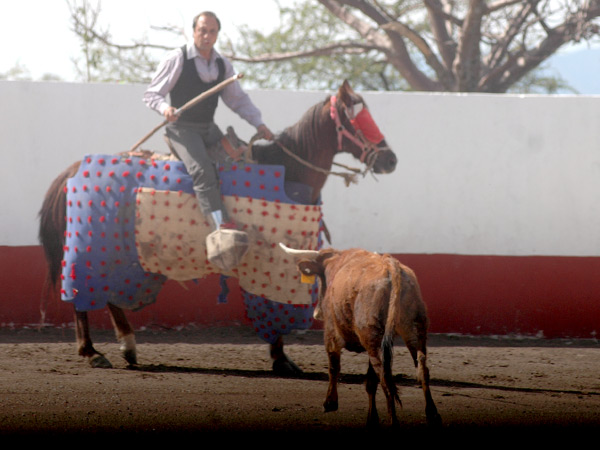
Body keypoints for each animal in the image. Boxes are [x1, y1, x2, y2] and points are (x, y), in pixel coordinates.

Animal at [38, 80, 398, 372]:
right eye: (355, 118)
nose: (390, 159)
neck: (288, 170)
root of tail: (74, 170)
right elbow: (273, 306)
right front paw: (281, 358)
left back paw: (126, 346)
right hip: (93, 245)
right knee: (83, 290)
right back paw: (92, 351)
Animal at [280, 244, 440, 428]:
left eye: (320, 279)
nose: (317, 313)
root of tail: (391, 267)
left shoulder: (331, 333)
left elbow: (334, 367)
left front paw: (330, 403)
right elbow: (370, 381)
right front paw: (372, 419)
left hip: (373, 338)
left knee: (386, 379)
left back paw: (394, 422)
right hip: (412, 331)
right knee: (421, 369)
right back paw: (432, 415)